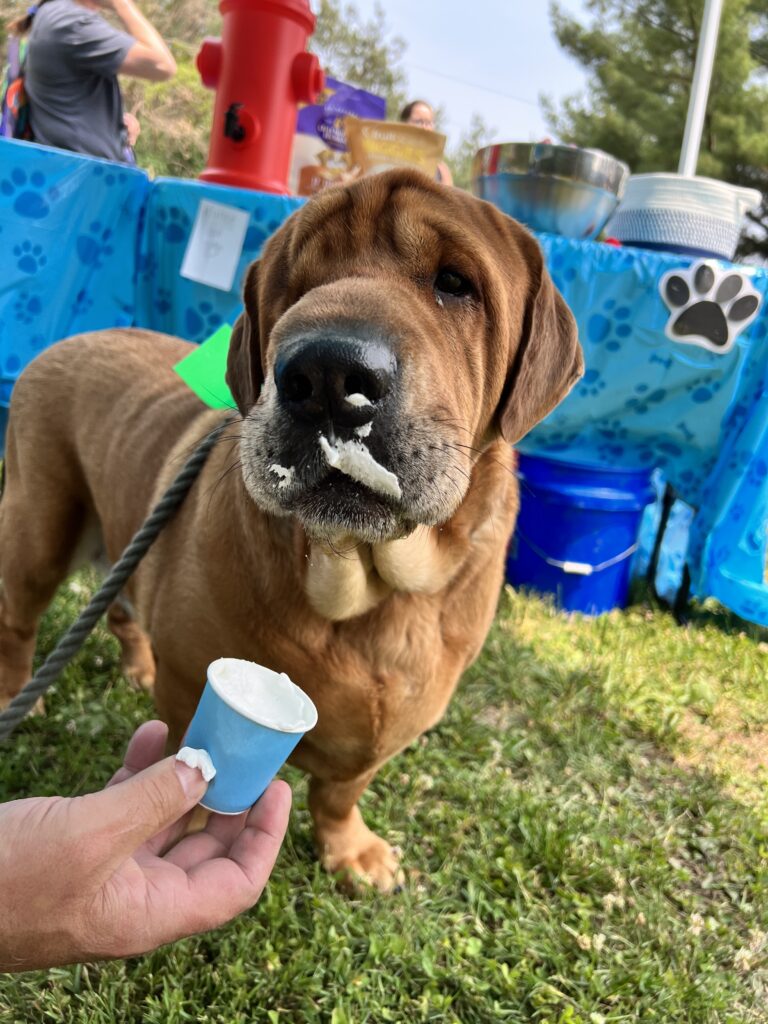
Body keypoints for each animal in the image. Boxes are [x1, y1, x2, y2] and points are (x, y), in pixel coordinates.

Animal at [0, 167, 581, 888]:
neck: (362, 588)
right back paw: (20, 692)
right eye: (293, 287)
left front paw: (349, 849)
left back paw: (135, 663)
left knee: (120, 607)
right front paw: (187, 834)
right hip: (38, 529)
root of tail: (67, 341)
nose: (327, 373)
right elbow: (189, 760)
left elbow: (339, 791)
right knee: (19, 623)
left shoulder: (381, 736)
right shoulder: (190, 687)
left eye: (455, 282)